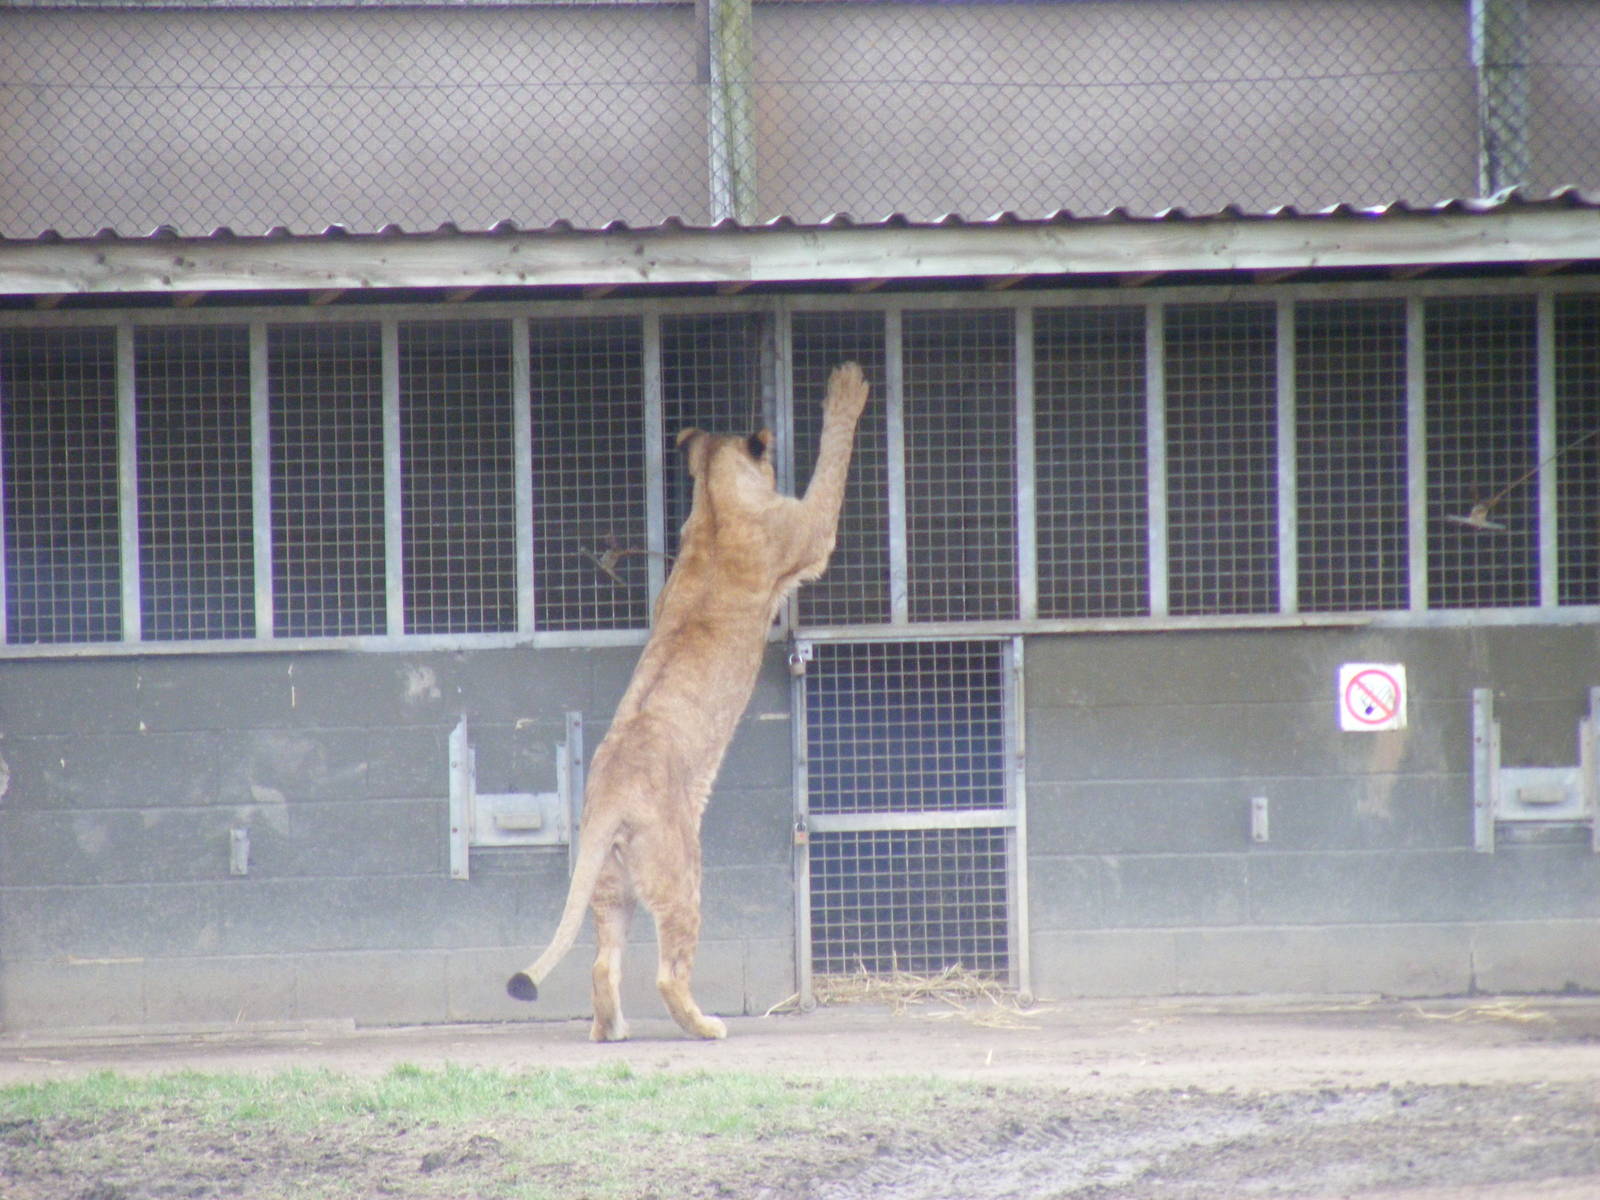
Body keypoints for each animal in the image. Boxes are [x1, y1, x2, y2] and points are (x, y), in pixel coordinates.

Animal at [507, 361, 870, 1040]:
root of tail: (608, 798)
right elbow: (830, 471)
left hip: (612, 885)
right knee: (668, 972)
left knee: (602, 963)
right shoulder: (808, 535)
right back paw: (706, 1026)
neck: (717, 506)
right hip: (682, 870)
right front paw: (847, 387)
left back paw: (611, 1030)